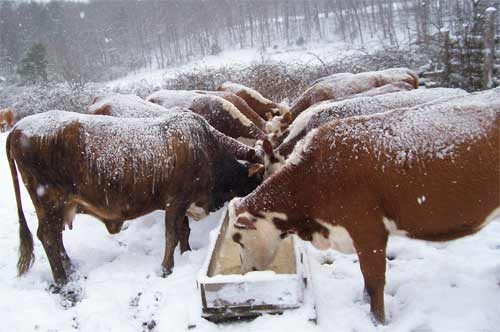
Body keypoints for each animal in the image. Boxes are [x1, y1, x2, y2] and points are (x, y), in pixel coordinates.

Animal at [8, 110, 266, 286]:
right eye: (259, 180)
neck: (205, 148)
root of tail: (18, 128)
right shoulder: (176, 201)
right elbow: (172, 235)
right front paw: (166, 268)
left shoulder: (181, 203)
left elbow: (184, 231)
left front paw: (186, 254)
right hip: (49, 201)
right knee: (47, 236)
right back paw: (62, 278)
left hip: (60, 206)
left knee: (55, 234)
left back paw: (69, 266)